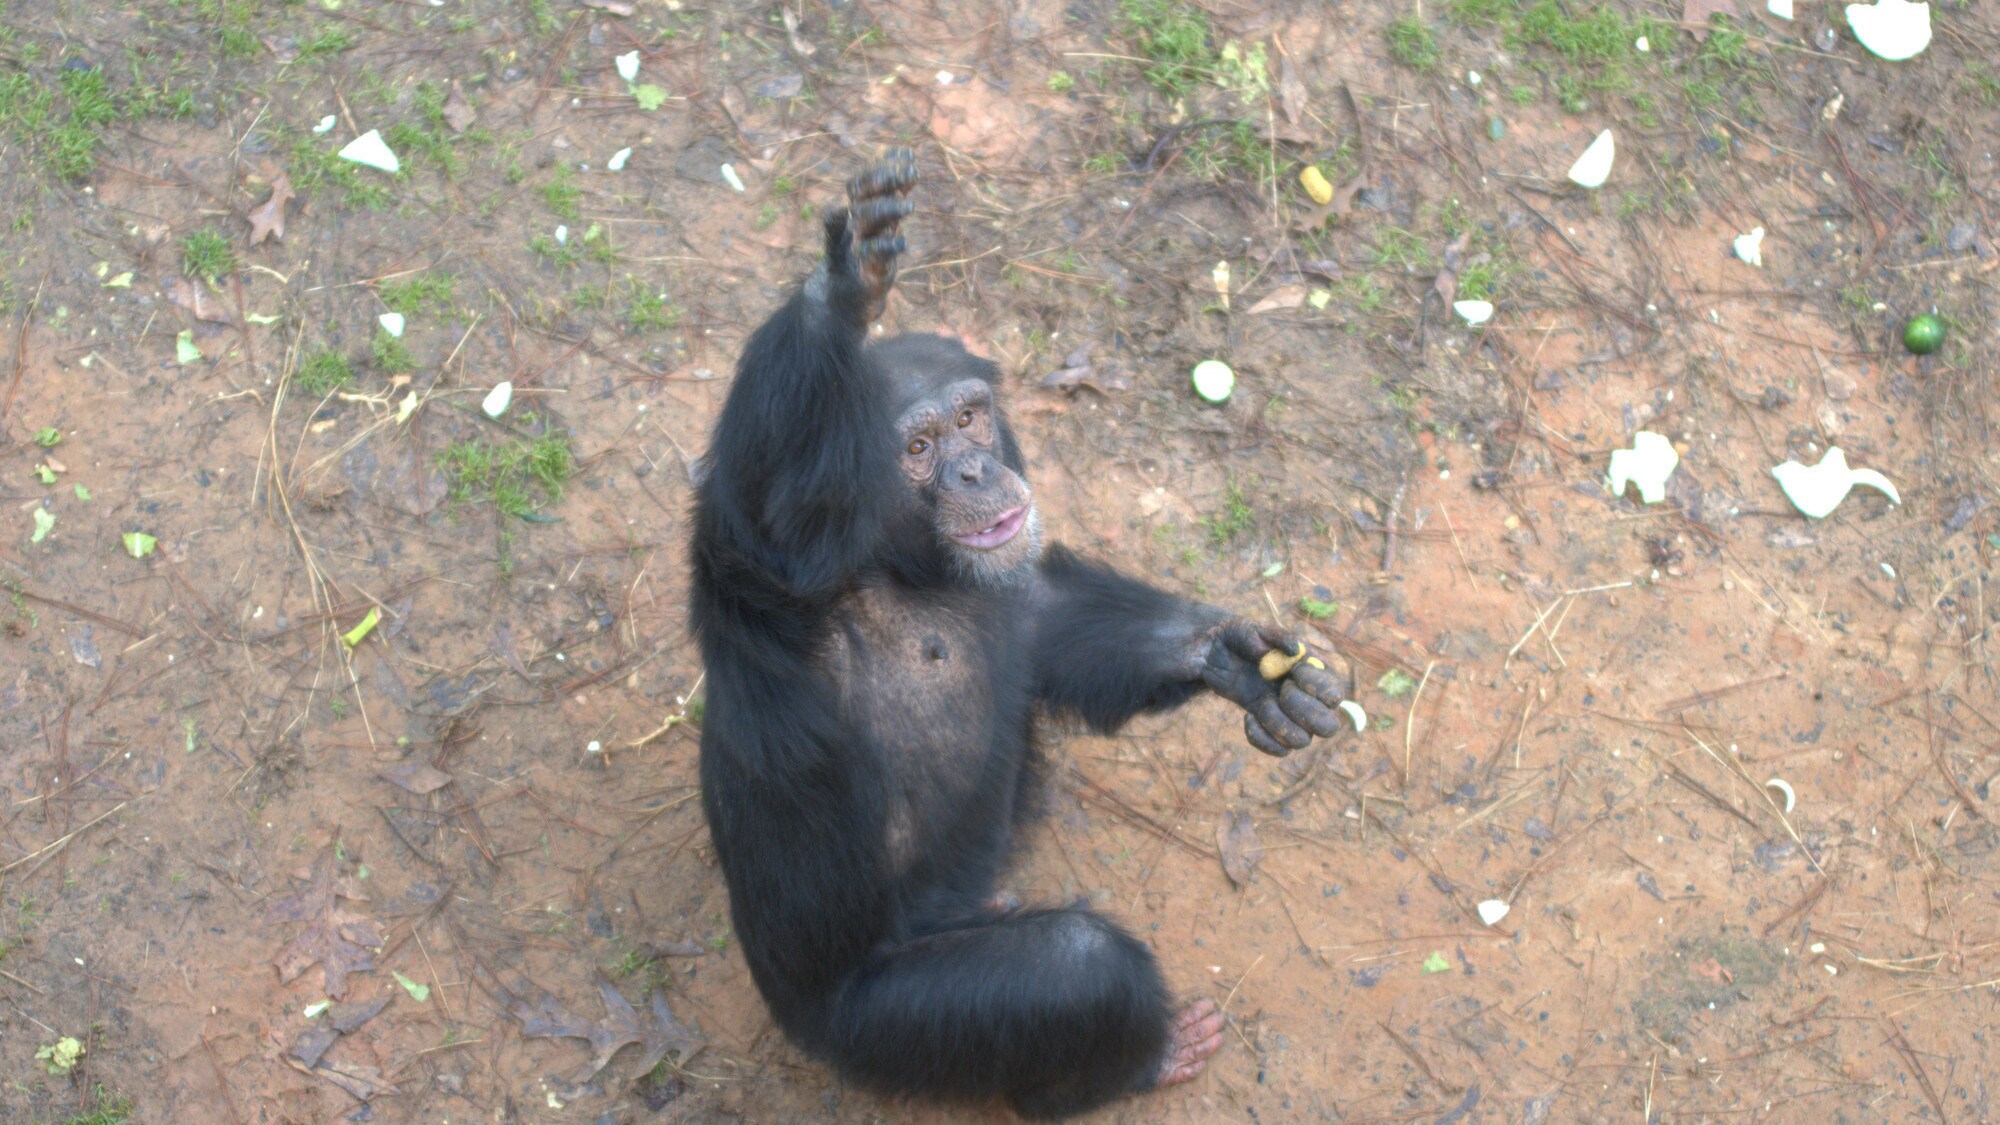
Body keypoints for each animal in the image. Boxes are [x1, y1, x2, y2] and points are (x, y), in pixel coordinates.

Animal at [684, 151, 1344, 1120]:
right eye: (917, 446)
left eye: (968, 418)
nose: (973, 468)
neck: (898, 568)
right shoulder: (768, 580)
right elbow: (762, 497)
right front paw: (839, 289)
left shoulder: (1008, 586)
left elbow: (1046, 619)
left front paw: (1231, 658)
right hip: (884, 1023)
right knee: (1073, 966)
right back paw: (1145, 1058)